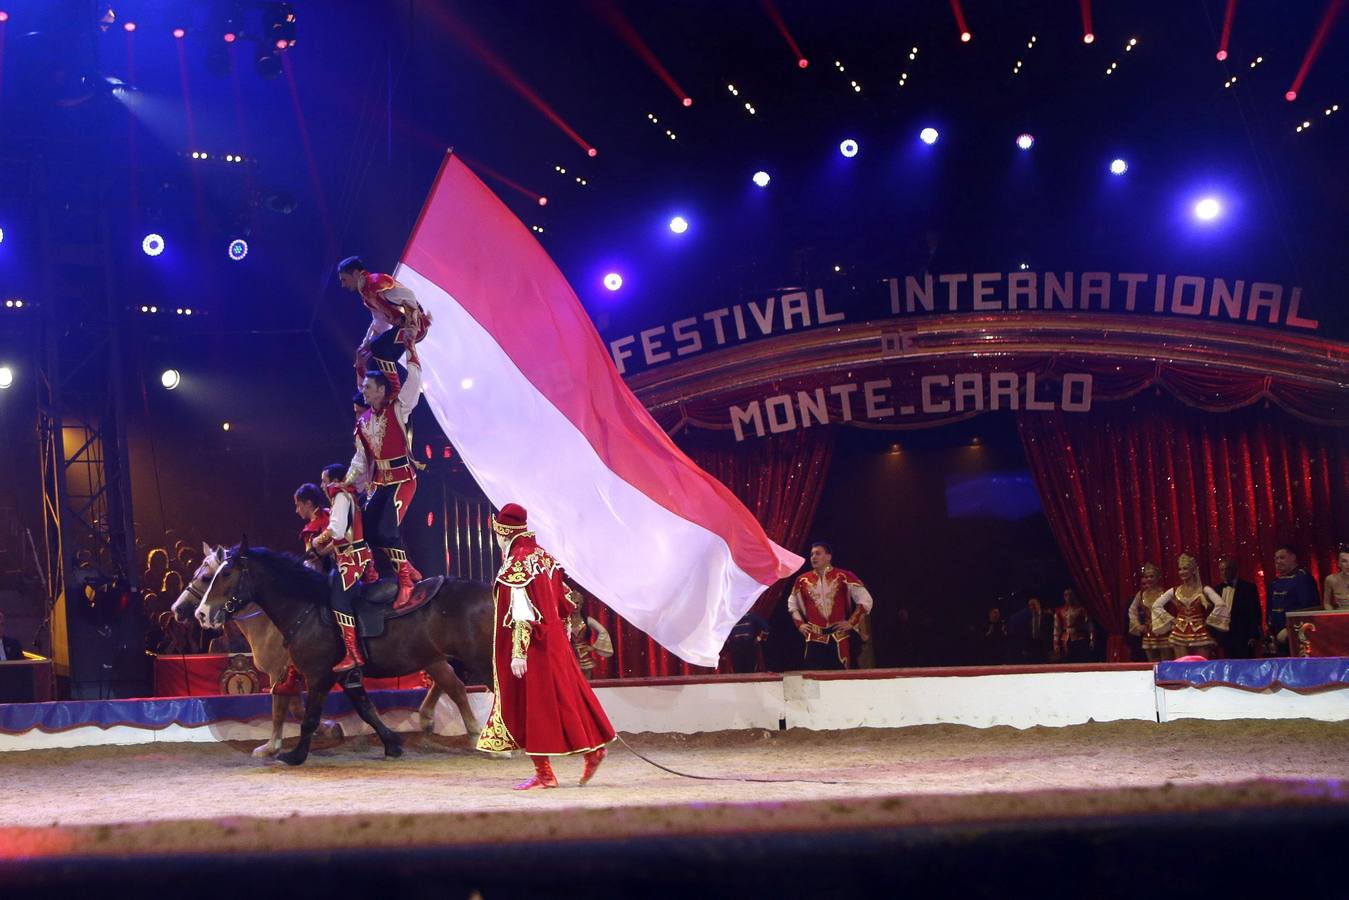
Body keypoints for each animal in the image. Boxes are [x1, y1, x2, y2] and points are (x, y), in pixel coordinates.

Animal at [195, 542, 496, 766]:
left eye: (222, 575)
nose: (201, 614)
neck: (307, 608)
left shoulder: (317, 676)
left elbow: (308, 717)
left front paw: (295, 755)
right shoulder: (345, 677)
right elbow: (365, 709)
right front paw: (392, 744)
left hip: (480, 660)